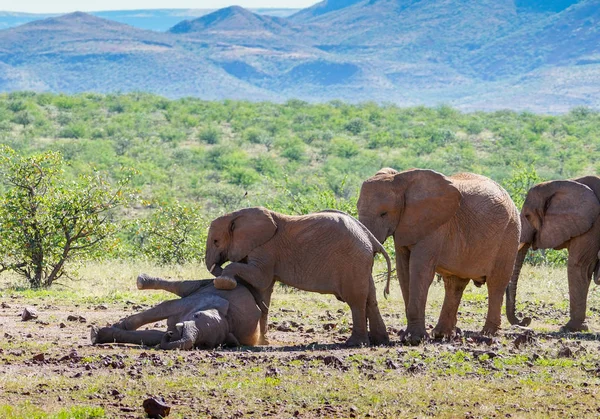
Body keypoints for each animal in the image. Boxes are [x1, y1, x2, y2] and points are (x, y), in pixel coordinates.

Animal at [89, 276, 262, 352]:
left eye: (205, 344)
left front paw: (99, 335)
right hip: (210, 286)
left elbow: (153, 336)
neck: (228, 318)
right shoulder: (200, 299)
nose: (171, 333)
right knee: (184, 286)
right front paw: (96, 333)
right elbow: (166, 308)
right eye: (196, 316)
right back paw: (141, 281)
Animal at [207, 207, 394, 348]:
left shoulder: (265, 249)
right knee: (370, 298)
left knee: (356, 300)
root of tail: (370, 238)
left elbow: (260, 279)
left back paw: (354, 343)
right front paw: (263, 342)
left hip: (352, 261)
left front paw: (224, 282)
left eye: (216, 241)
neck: (236, 215)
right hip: (361, 263)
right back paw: (380, 342)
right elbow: (264, 291)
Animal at [356, 169, 520, 346]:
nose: (385, 293)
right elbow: (403, 271)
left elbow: (420, 272)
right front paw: (409, 337)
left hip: (509, 235)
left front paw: (414, 340)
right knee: (454, 284)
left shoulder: (435, 226)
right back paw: (441, 335)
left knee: (496, 283)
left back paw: (487, 334)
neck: (400, 179)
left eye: (383, 213)